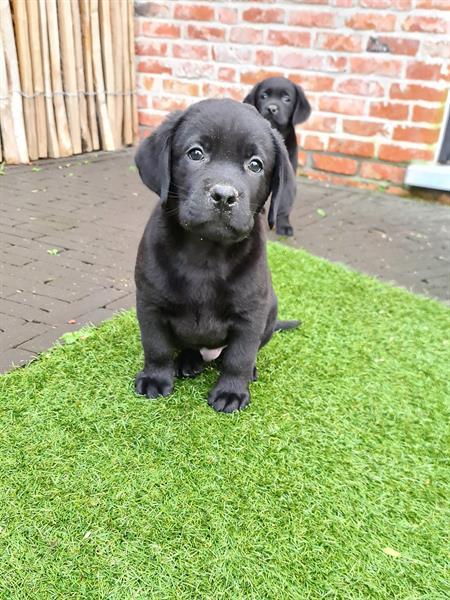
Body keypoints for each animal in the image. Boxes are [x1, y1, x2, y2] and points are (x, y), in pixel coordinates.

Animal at [135, 101, 300, 414]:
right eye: (195, 153)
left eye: (255, 165)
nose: (224, 195)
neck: (206, 253)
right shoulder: (149, 303)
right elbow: (156, 347)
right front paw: (155, 378)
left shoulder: (251, 314)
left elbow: (239, 357)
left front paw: (231, 392)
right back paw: (188, 362)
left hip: (271, 311)